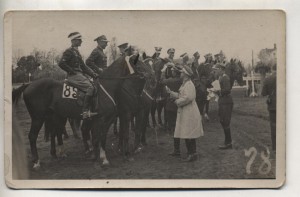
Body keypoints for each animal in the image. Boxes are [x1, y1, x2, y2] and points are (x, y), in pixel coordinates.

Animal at [12, 54, 143, 168]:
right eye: (137, 63)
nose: (143, 76)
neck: (107, 88)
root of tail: (29, 84)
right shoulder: (100, 120)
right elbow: (98, 138)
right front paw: (99, 158)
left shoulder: (106, 120)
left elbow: (101, 137)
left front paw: (101, 157)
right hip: (38, 118)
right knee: (32, 136)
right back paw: (36, 162)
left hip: (53, 116)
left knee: (54, 132)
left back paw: (56, 154)